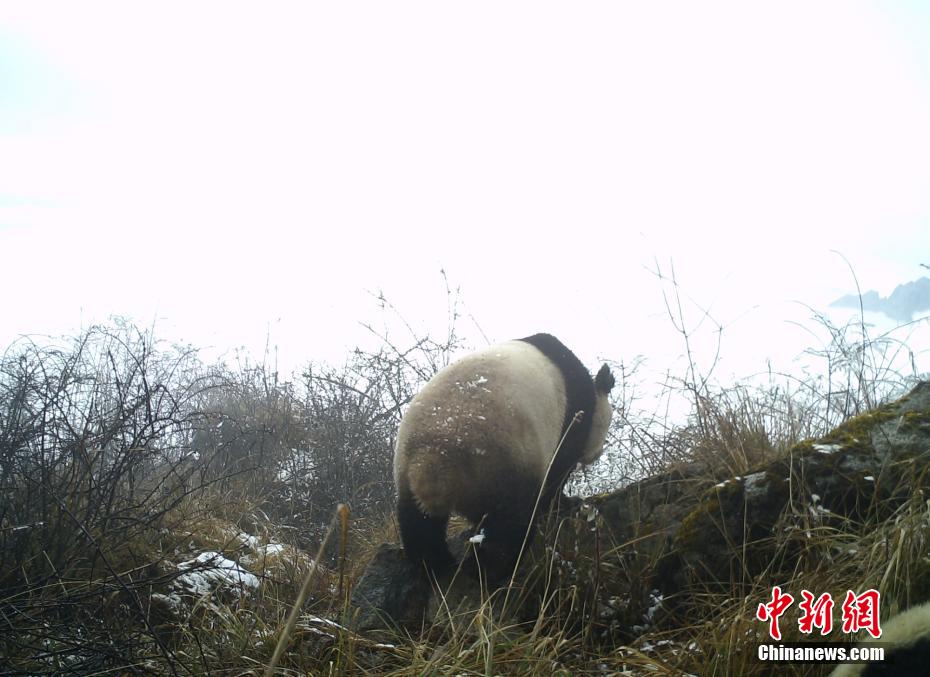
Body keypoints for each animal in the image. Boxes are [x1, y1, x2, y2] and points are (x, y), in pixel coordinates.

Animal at [394, 332, 616, 580]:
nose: (597, 454)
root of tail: (433, 461)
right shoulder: (572, 416)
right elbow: (558, 470)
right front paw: (564, 502)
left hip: (405, 466)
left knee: (417, 523)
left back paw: (437, 565)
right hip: (504, 460)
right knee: (510, 525)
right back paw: (492, 570)